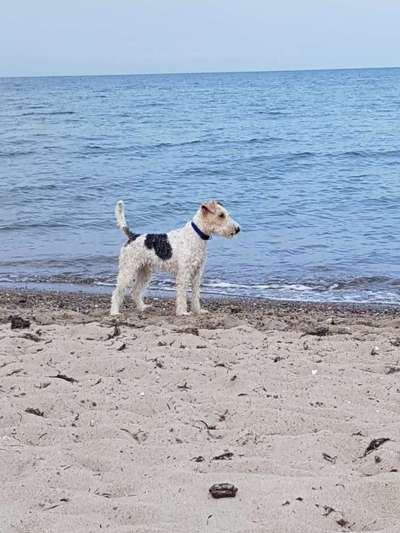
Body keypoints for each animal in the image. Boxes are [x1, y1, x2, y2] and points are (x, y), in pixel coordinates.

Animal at [111, 201, 239, 316]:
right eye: (221, 215)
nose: (238, 229)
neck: (196, 235)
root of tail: (132, 236)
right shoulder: (184, 273)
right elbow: (182, 295)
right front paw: (182, 312)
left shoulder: (197, 273)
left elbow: (195, 294)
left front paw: (198, 311)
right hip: (128, 270)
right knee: (117, 292)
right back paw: (114, 312)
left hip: (145, 271)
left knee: (135, 291)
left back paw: (142, 307)